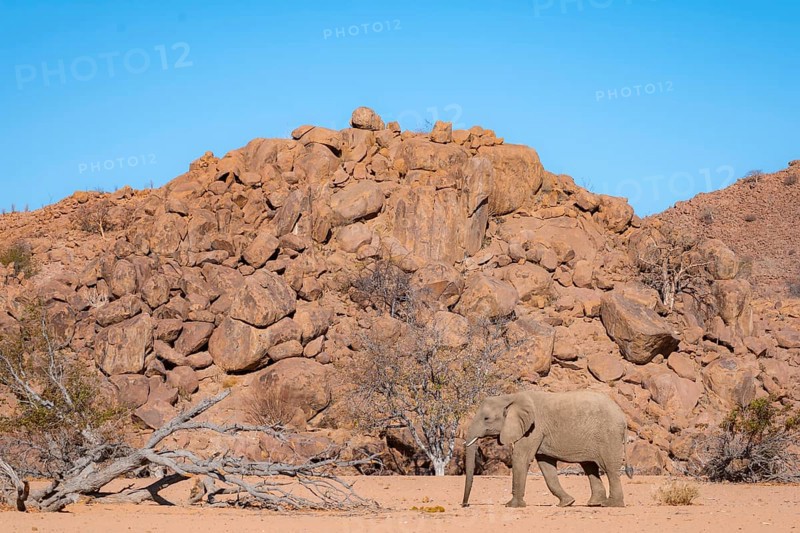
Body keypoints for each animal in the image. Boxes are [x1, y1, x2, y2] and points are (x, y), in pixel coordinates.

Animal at [462, 389, 633, 508]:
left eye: (486, 419)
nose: (465, 505)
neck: (511, 397)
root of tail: (623, 417)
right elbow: (546, 466)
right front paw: (567, 503)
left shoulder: (534, 428)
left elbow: (521, 458)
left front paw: (512, 506)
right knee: (590, 467)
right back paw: (594, 504)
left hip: (609, 435)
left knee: (609, 468)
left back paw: (611, 505)